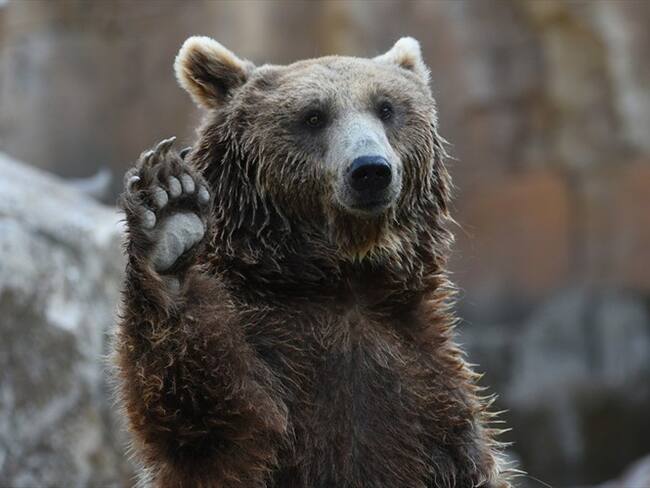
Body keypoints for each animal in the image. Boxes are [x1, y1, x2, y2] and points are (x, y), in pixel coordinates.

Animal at [115, 36, 512, 488]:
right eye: (313, 116)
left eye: (386, 107)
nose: (371, 170)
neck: (344, 281)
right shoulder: (269, 361)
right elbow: (205, 419)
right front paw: (170, 211)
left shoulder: (433, 393)